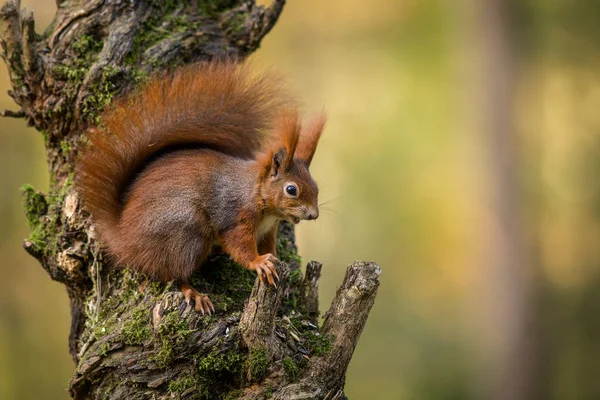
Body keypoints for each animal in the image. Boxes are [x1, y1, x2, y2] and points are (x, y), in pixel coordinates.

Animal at [78, 61, 328, 314]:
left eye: (316, 186)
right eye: (291, 190)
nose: (313, 214)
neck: (257, 194)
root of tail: (122, 239)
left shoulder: (268, 229)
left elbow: (269, 247)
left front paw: (276, 264)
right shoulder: (236, 217)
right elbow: (239, 246)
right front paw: (259, 262)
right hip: (187, 235)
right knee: (173, 274)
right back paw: (194, 293)